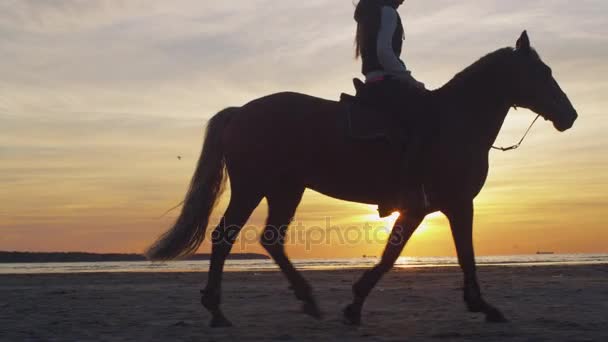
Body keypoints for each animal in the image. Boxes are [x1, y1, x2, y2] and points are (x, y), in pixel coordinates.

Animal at [145, 30, 576, 328]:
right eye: (543, 73)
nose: (570, 115)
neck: (456, 121)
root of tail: (240, 112)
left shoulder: (426, 209)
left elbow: (398, 254)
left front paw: (354, 305)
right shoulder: (452, 203)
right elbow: (451, 255)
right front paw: (484, 307)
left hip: (286, 188)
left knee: (271, 238)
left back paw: (305, 300)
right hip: (253, 186)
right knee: (225, 237)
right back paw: (218, 311)